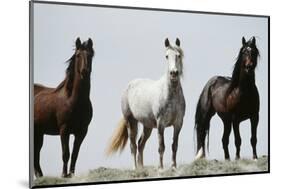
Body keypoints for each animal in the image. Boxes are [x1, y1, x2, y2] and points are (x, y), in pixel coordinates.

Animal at [33, 37, 94, 178]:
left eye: (90, 55)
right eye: (78, 55)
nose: (84, 71)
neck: (74, 101)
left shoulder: (82, 132)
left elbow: (75, 154)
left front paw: (71, 174)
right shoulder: (64, 130)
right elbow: (66, 153)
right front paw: (63, 175)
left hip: (39, 133)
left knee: (36, 152)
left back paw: (40, 176)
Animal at [106, 38, 185, 170]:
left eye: (178, 55)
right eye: (166, 56)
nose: (174, 73)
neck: (170, 94)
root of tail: (129, 85)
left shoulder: (178, 123)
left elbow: (175, 145)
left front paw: (173, 167)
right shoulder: (161, 124)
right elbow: (161, 146)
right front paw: (160, 168)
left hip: (147, 126)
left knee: (140, 144)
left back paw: (141, 167)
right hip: (131, 122)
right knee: (133, 145)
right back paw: (135, 168)